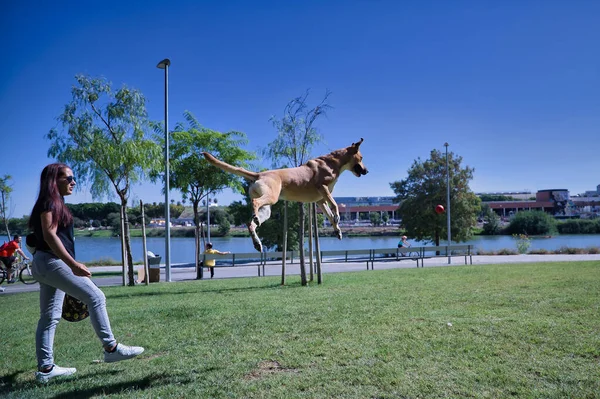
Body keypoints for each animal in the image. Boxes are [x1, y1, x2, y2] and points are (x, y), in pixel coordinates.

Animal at [203, 138, 366, 250]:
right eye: (362, 158)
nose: (366, 170)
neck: (333, 162)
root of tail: (259, 175)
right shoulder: (323, 189)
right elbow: (335, 205)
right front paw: (338, 216)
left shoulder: (321, 200)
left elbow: (330, 216)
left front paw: (338, 230)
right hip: (271, 197)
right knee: (255, 203)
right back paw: (255, 220)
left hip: (267, 210)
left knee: (251, 224)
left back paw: (257, 242)